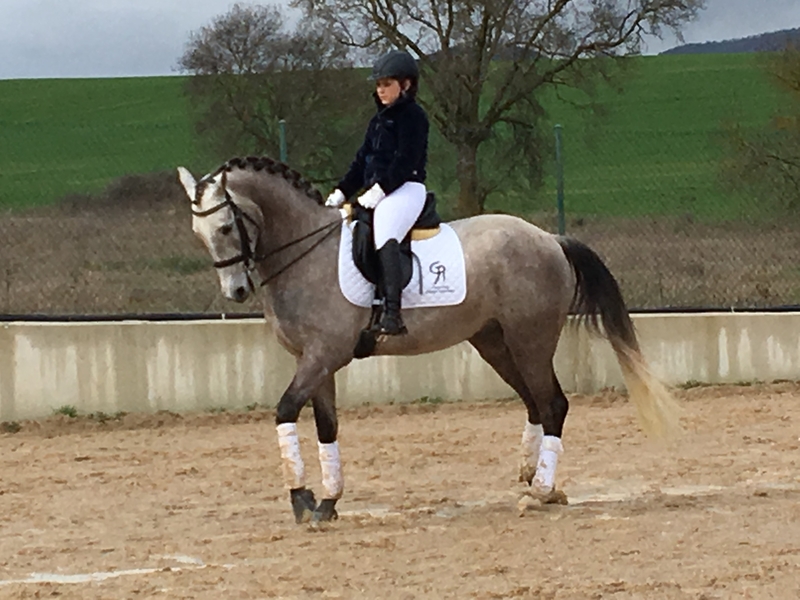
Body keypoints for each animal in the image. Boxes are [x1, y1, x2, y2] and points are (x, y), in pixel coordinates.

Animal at [176, 155, 680, 524]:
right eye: (198, 234)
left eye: (226, 227)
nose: (236, 291)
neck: (305, 252)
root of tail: (548, 238)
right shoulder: (315, 361)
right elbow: (326, 427)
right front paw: (328, 502)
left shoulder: (322, 355)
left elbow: (284, 412)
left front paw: (301, 499)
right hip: (494, 342)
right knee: (535, 403)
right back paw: (538, 479)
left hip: (531, 339)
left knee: (553, 403)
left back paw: (539, 491)